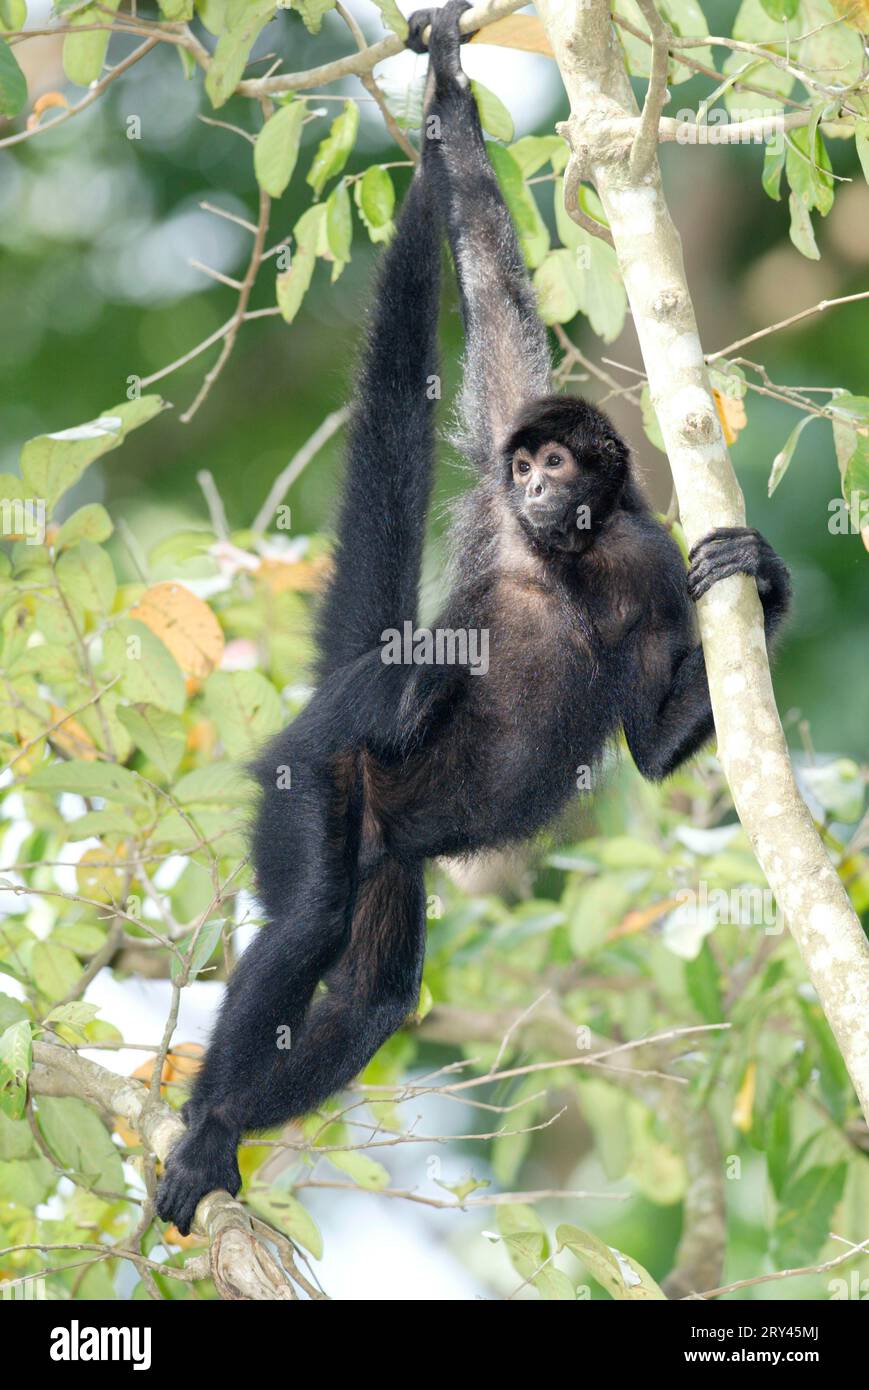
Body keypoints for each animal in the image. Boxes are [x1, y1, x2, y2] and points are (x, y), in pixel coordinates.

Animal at [156, 0, 790, 1235]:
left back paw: (235, 1122)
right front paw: (451, 102)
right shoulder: (496, 515)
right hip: (315, 779)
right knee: (311, 907)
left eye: (563, 464)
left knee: (368, 992)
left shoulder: (646, 559)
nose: (538, 482)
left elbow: (651, 749)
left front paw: (762, 576)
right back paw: (207, 1124)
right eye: (529, 462)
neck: (569, 561)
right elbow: (493, 294)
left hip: (389, 851)